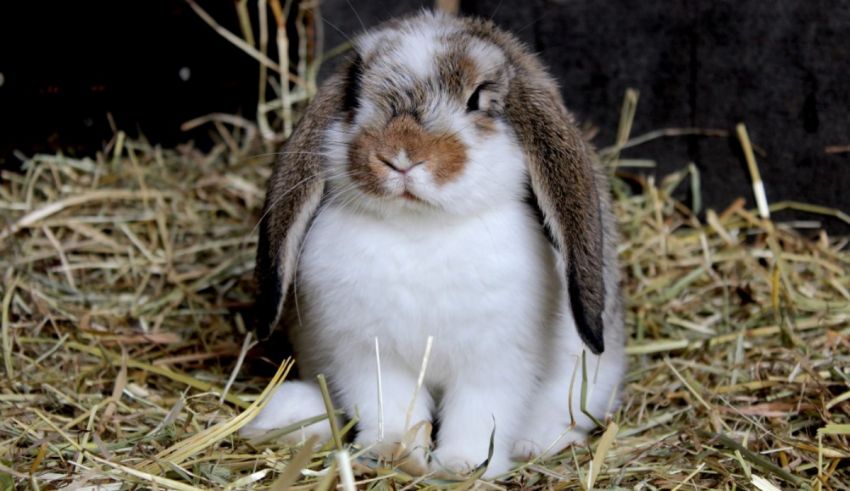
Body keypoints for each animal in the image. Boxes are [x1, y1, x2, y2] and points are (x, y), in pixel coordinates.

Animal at [242, 10, 628, 480]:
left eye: (476, 98)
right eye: (355, 93)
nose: (400, 156)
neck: (419, 229)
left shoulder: (494, 362)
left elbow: (479, 414)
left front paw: (461, 466)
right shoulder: (369, 356)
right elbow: (390, 408)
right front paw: (393, 452)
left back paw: (533, 443)